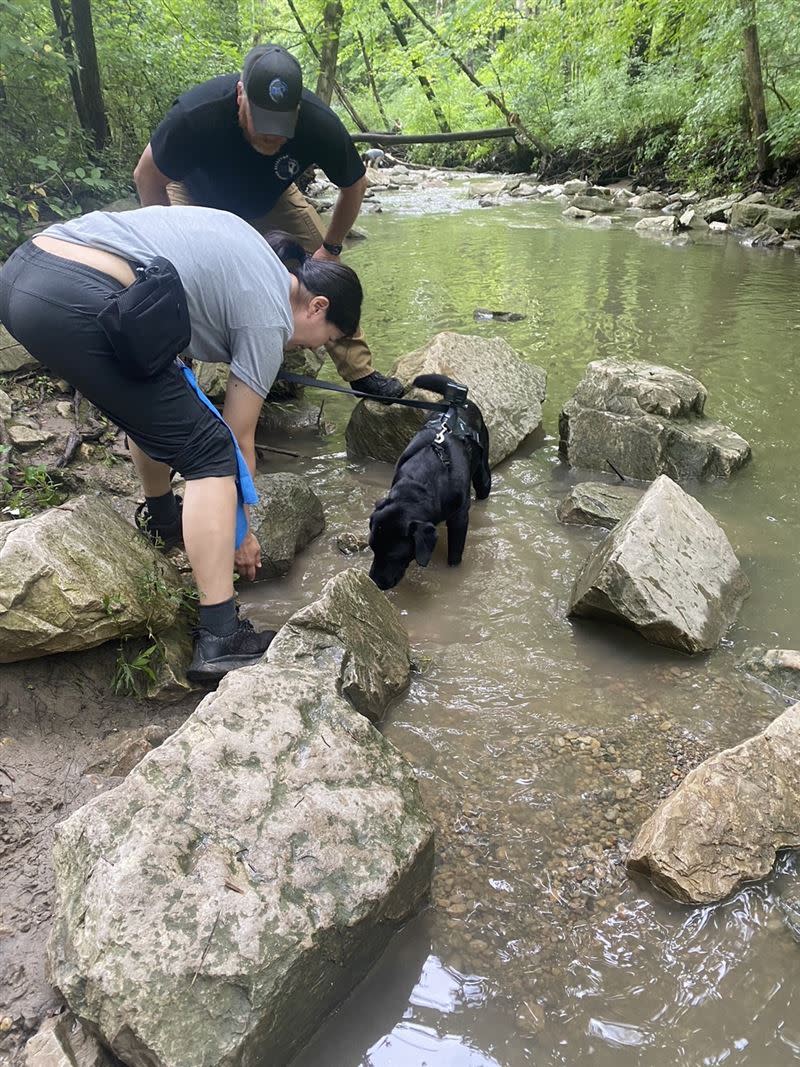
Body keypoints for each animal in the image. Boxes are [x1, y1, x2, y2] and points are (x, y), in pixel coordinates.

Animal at [371, 375, 494, 593]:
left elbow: (455, 555)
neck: (423, 482)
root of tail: (458, 403)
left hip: (482, 474)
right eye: (372, 548)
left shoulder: (459, 519)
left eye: (393, 555)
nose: (374, 582)